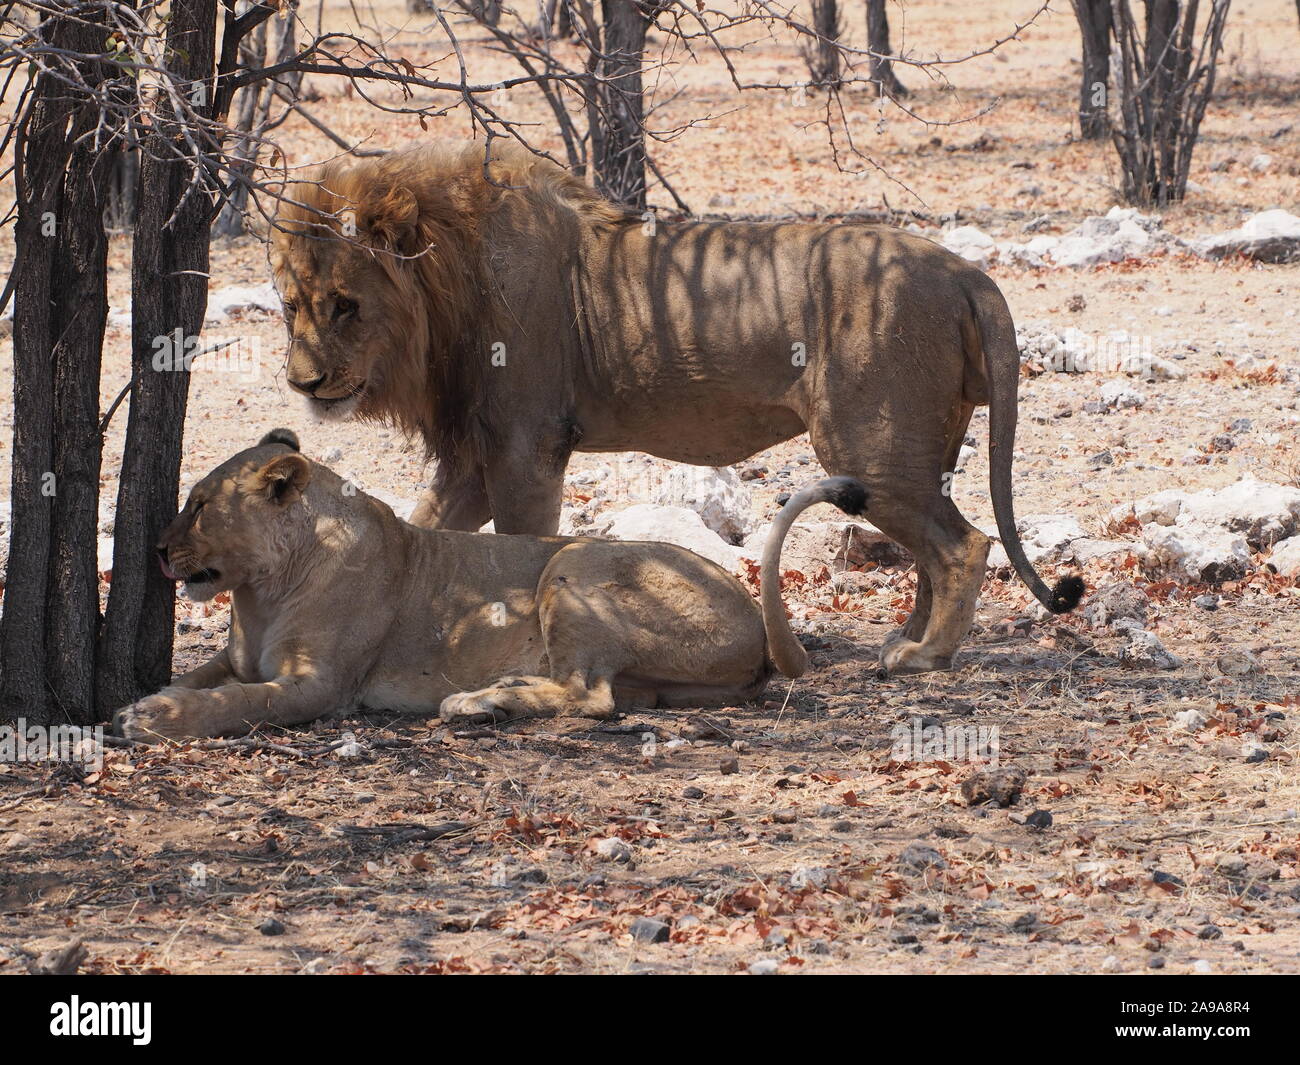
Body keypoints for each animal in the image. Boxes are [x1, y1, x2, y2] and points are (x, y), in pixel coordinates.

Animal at [112, 430, 868, 741]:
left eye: (199, 505)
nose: (157, 550)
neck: (260, 591)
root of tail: (757, 625)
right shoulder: (234, 657)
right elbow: (204, 679)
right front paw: (141, 700)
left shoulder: (318, 685)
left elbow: (238, 703)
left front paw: (155, 717)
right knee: (603, 692)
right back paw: (497, 697)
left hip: (575, 563)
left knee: (591, 697)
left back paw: (477, 703)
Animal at [269, 142, 1082, 677]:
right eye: (290, 306)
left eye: (345, 306)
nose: (304, 384)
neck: (447, 285)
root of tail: (965, 270)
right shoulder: (473, 457)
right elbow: (425, 530)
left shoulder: (526, 447)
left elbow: (522, 544)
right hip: (919, 450)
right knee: (931, 552)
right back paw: (901, 639)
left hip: (870, 449)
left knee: (961, 546)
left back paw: (922, 656)